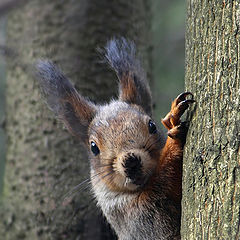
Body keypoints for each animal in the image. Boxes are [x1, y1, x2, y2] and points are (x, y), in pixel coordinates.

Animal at [37, 38, 195, 239]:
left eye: (152, 125)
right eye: (93, 147)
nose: (131, 161)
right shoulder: (141, 220)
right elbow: (163, 181)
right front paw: (173, 135)